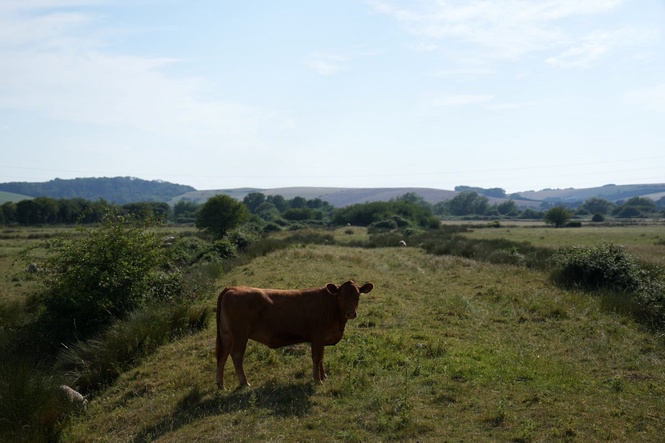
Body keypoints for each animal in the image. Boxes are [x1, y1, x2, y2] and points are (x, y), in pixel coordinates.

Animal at [216, 280, 374, 389]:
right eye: (341, 295)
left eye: (358, 295)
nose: (351, 313)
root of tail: (232, 288)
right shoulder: (317, 336)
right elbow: (317, 358)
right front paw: (318, 380)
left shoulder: (321, 339)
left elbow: (321, 357)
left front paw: (324, 376)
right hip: (240, 334)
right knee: (236, 355)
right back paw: (244, 382)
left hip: (227, 335)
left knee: (222, 356)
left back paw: (221, 385)